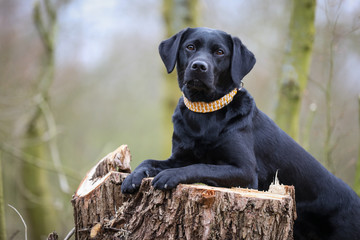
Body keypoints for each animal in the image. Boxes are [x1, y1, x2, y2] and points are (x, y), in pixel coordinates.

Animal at [121, 27, 360, 239]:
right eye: (190, 47)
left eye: (219, 52)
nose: (199, 66)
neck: (204, 113)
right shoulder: (179, 156)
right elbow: (149, 161)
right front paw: (133, 177)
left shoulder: (245, 172)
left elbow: (202, 166)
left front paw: (169, 176)